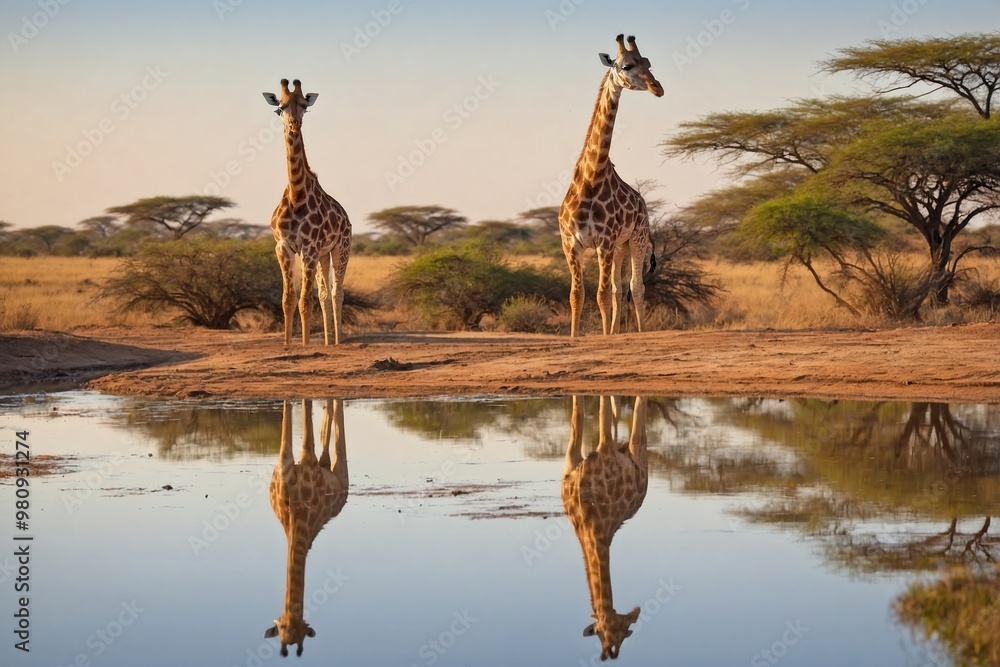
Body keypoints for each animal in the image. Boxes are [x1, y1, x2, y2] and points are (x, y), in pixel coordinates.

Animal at [262, 79, 352, 346]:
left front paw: (303, 344)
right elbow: (288, 300)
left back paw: (338, 341)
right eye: (280, 108)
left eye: (304, 105)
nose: (294, 124)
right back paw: (328, 341)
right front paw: (287, 344)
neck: (296, 195)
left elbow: (304, 301)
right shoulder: (284, 247)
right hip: (323, 254)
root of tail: (347, 217)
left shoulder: (309, 247)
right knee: (323, 293)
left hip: (340, 248)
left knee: (336, 292)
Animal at [264, 398, 349, 657]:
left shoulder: (306, 458)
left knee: (337, 445)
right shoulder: (286, 458)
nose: (289, 616)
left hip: (343, 476)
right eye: (281, 627)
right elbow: (290, 415)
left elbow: (306, 419)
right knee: (327, 450)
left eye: (301, 629)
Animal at [560, 35, 663, 337]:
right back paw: (617, 331)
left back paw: (640, 332)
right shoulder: (571, 244)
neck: (590, 180)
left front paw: (606, 337)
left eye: (649, 63)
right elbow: (577, 295)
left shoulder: (603, 243)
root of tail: (642, 202)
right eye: (627, 65)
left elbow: (601, 295)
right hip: (620, 247)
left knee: (636, 287)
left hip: (636, 240)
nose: (657, 87)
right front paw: (576, 337)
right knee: (619, 290)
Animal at [561, 395, 649, 660]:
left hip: (638, 454)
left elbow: (601, 415)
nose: (635, 613)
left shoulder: (606, 448)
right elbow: (578, 416)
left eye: (624, 633)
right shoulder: (572, 457)